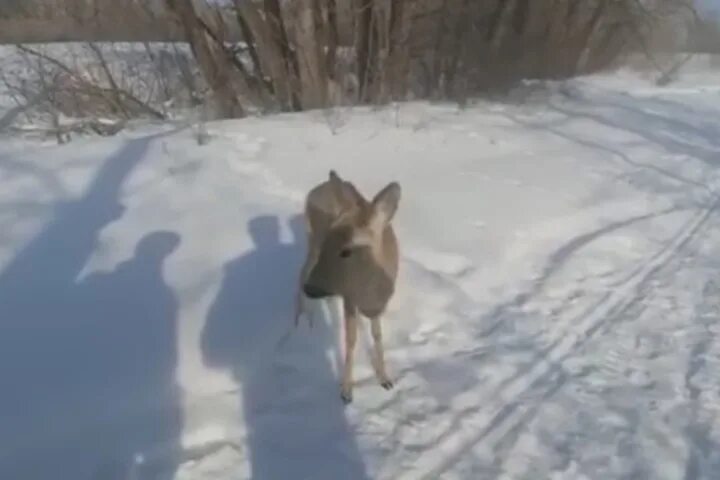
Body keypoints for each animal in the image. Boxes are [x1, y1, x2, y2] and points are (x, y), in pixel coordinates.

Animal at [296, 171, 402, 404]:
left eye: (346, 251)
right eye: (330, 243)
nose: (312, 289)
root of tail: (320, 186)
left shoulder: (378, 304)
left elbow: (377, 335)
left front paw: (385, 379)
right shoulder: (350, 298)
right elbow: (350, 339)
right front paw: (346, 390)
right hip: (311, 243)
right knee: (300, 273)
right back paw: (303, 321)